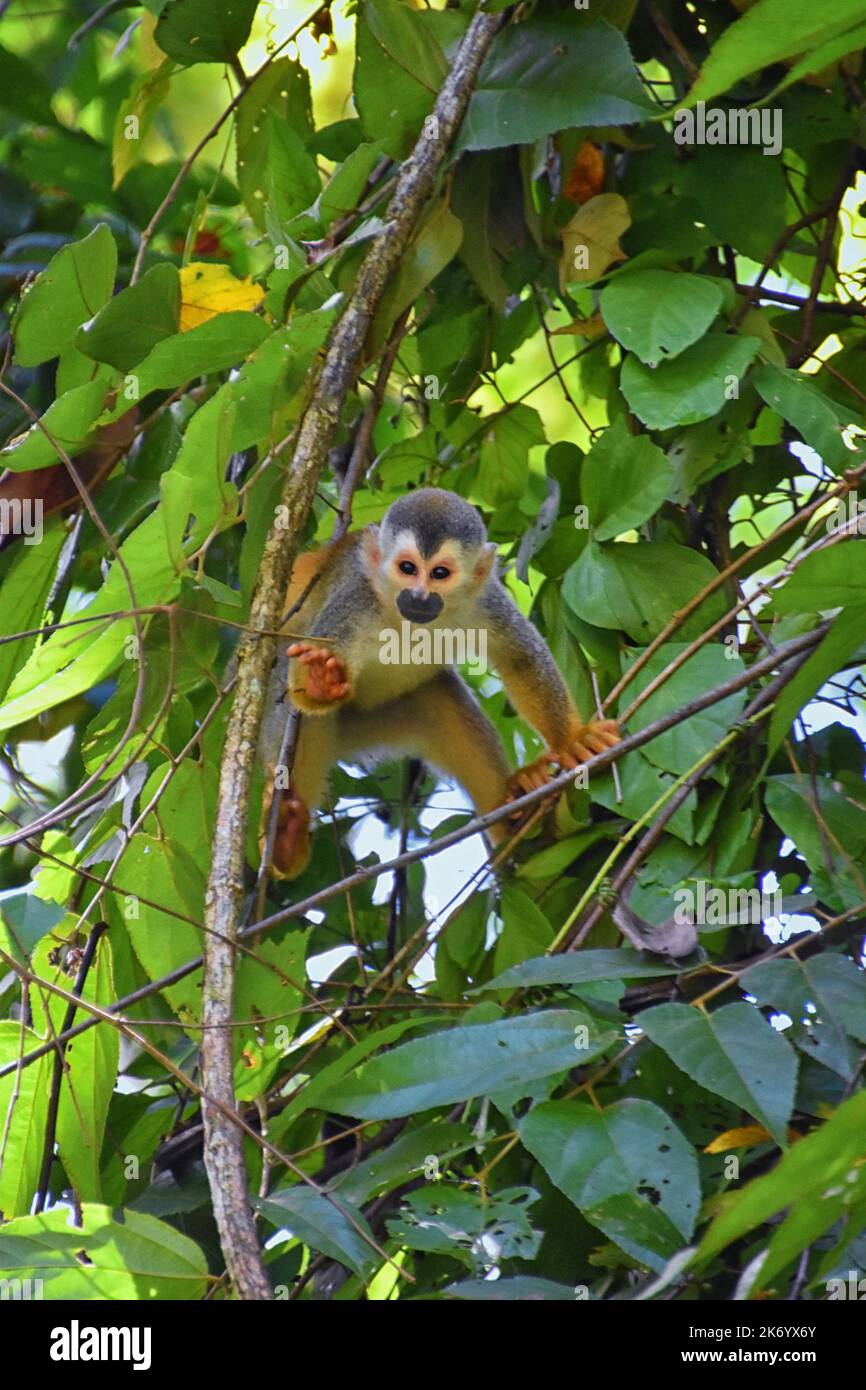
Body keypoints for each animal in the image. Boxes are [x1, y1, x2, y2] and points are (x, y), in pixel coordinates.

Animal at [260, 488, 620, 878]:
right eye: (407, 569)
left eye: (440, 573)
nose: (419, 596)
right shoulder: (355, 600)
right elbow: (303, 686)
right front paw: (319, 680)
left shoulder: (485, 600)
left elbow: (521, 659)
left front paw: (572, 742)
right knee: (296, 713)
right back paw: (286, 841)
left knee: (444, 704)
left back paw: (516, 815)